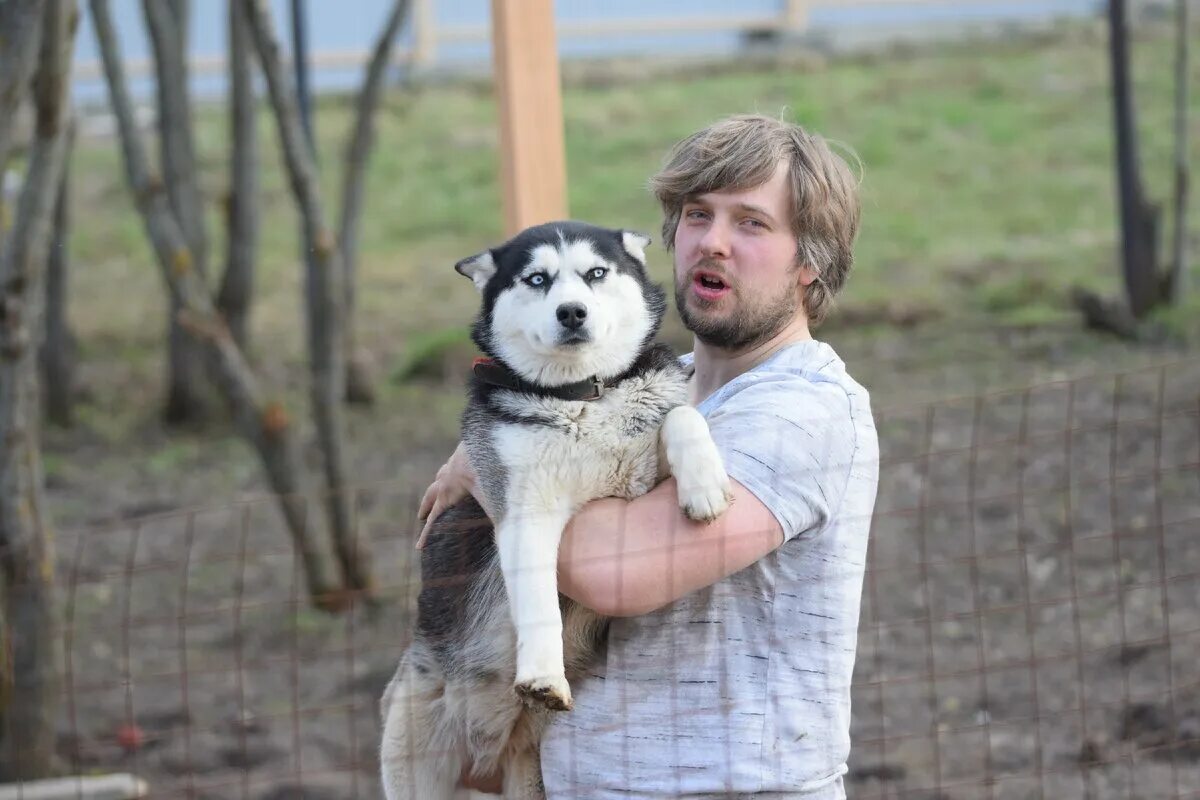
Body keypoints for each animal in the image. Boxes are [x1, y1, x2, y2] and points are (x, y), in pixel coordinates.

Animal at [379, 220, 729, 800]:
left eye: (596, 273)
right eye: (537, 279)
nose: (572, 312)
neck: (579, 397)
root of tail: (486, 754)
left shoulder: (639, 482)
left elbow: (683, 416)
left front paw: (705, 484)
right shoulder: (523, 509)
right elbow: (539, 599)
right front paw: (544, 676)